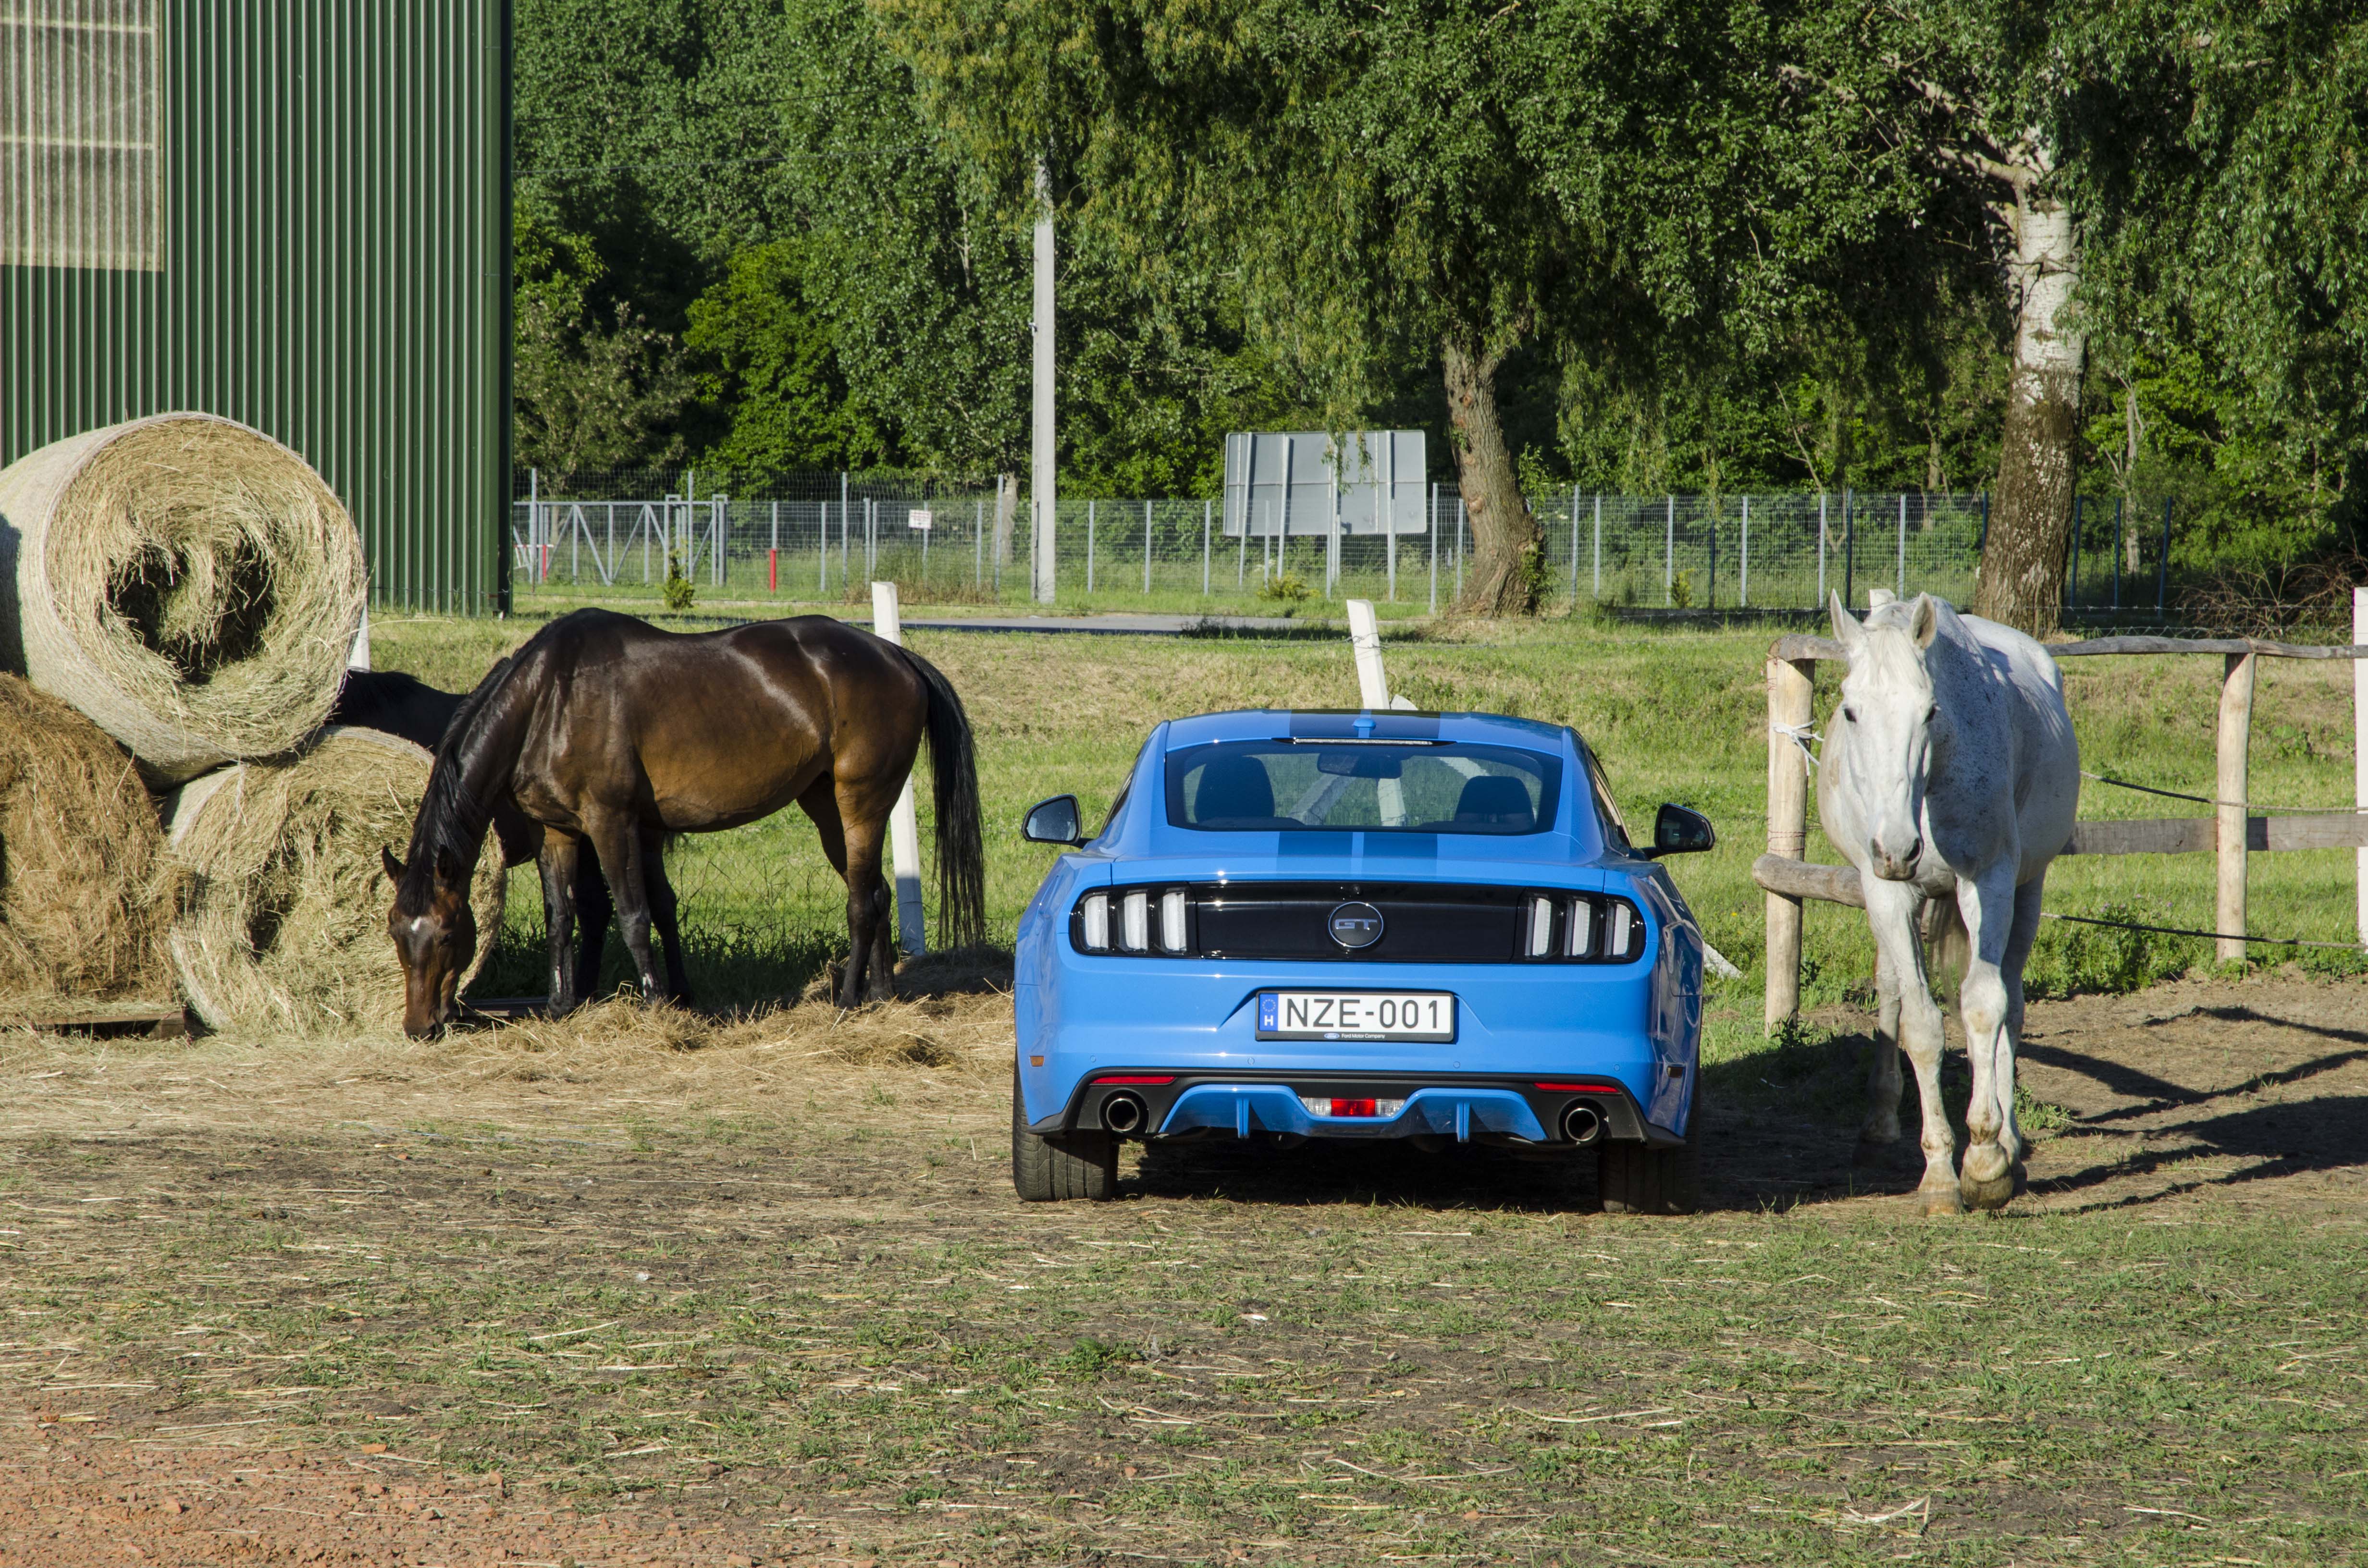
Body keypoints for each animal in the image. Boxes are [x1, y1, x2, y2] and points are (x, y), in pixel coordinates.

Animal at [383, 606, 985, 1037]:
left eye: (446, 934)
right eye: (395, 931)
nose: (419, 1027)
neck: (550, 699)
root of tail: (895, 656)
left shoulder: (611, 822)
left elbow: (633, 914)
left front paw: (655, 1002)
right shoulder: (555, 831)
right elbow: (562, 916)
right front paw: (559, 1005)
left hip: (860, 802)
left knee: (861, 901)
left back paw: (847, 1000)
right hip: (827, 809)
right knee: (877, 891)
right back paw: (881, 997)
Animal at [1818, 589, 2084, 1213]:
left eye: (1929, 712)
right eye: (1850, 712)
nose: (1896, 848)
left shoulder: (1987, 881)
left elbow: (1984, 1006)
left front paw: (1985, 1160)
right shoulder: (1886, 891)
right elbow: (1919, 1024)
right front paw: (1939, 1173)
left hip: (2027, 889)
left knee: (2011, 1001)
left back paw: (2008, 1144)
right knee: (1891, 990)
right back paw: (1879, 1124)